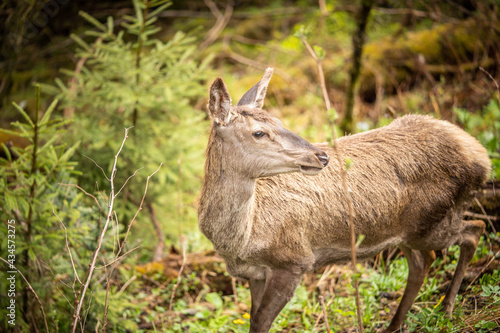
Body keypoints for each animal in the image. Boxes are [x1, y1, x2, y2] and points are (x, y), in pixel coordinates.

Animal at [197, 68, 490, 332]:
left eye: (279, 121)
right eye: (259, 132)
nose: (321, 156)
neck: (243, 238)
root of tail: (482, 157)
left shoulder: (294, 261)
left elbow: (260, 323)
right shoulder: (254, 273)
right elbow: (253, 320)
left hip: (434, 221)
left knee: (475, 230)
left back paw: (447, 309)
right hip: (406, 231)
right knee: (423, 262)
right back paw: (394, 325)